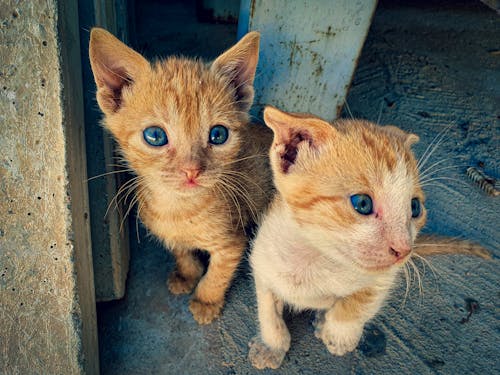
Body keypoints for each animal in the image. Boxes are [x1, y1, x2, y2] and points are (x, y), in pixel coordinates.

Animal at [88, 28, 272, 326]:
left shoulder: (232, 243)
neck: (178, 208)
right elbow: (180, 250)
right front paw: (186, 274)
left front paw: (206, 301)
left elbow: (217, 274)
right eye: (155, 136)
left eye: (218, 134)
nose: (192, 170)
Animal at [248, 106, 490, 370]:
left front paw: (339, 334)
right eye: (362, 203)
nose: (404, 250)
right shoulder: (263, 260)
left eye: (415, 207)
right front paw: (272, 345)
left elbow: (359, 303)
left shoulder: (384, 277)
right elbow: (268, 309)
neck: (315, 259)